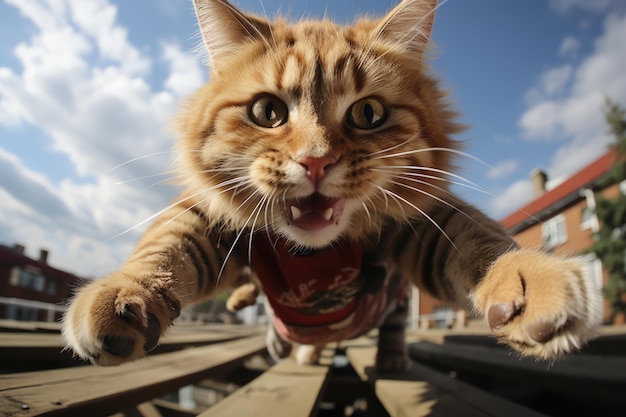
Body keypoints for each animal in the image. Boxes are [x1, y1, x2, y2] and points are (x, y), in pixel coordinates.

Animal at [62, 0, 600, 370]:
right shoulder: (211, 220)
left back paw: (380, 357)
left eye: (368, 114)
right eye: (267, 111)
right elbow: (164, 248)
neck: (313, 259)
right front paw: (124, 296)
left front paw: (531, 283)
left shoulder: (419, 223)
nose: (315, 161)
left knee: (391, 327)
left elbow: (481, 244)